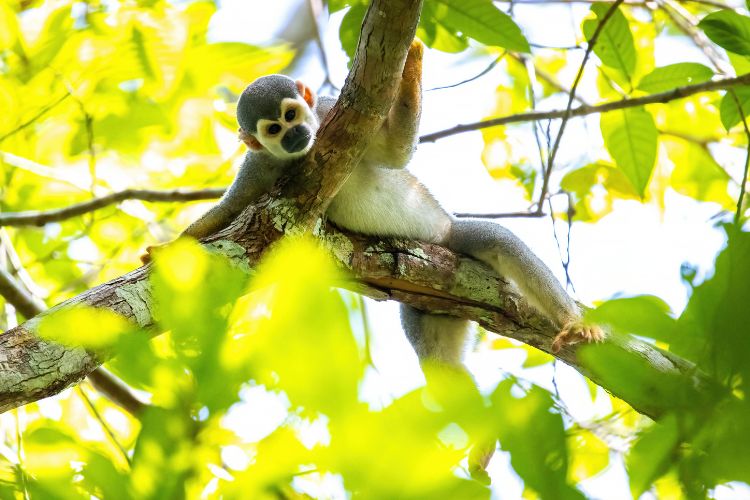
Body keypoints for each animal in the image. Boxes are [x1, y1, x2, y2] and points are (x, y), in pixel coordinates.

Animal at [142, 40, 603, 475]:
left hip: (451, 239)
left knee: (501, 243)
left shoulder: (329, 111)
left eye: (292, 114)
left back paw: (572, 323)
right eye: (273, 128)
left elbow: (395, 154)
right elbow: (229, 212)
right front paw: (168, 250)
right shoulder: (258, 165)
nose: (294, 135)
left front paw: (412, 61)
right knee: (437, 358)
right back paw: (481, 436)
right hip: (435, 303)